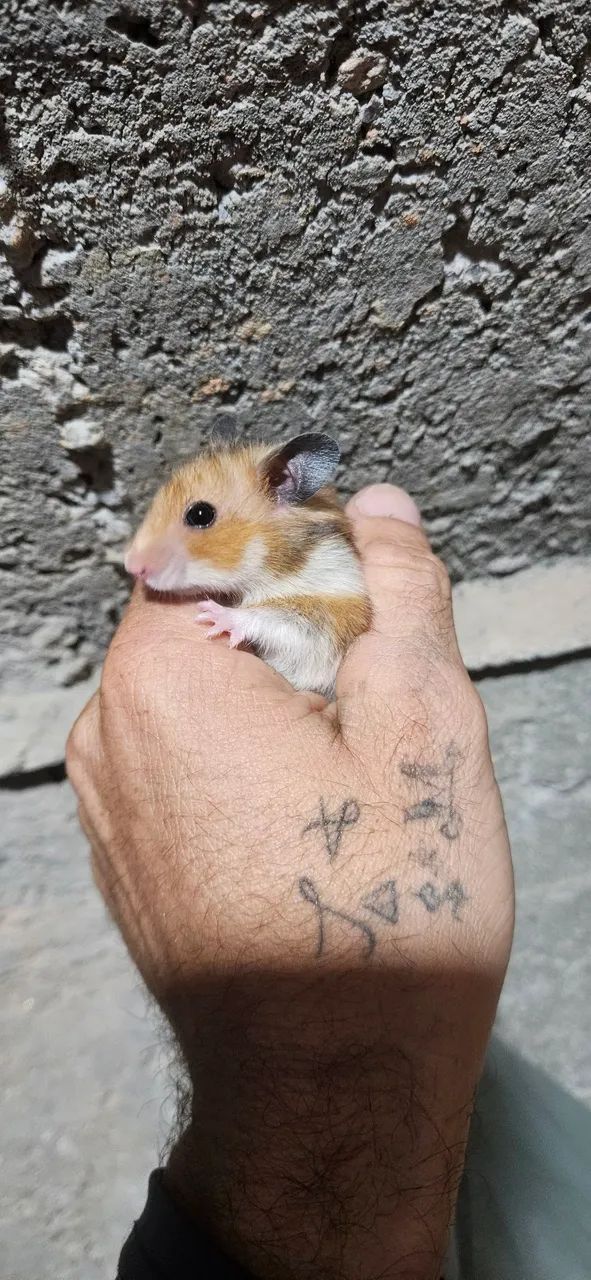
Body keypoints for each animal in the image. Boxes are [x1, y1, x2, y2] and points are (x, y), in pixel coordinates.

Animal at [124, 432, 371, 697]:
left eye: (200, 514)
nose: (132, 567)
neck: (278, 567)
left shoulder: (330, 620)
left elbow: (275, 618)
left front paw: (213, 614)